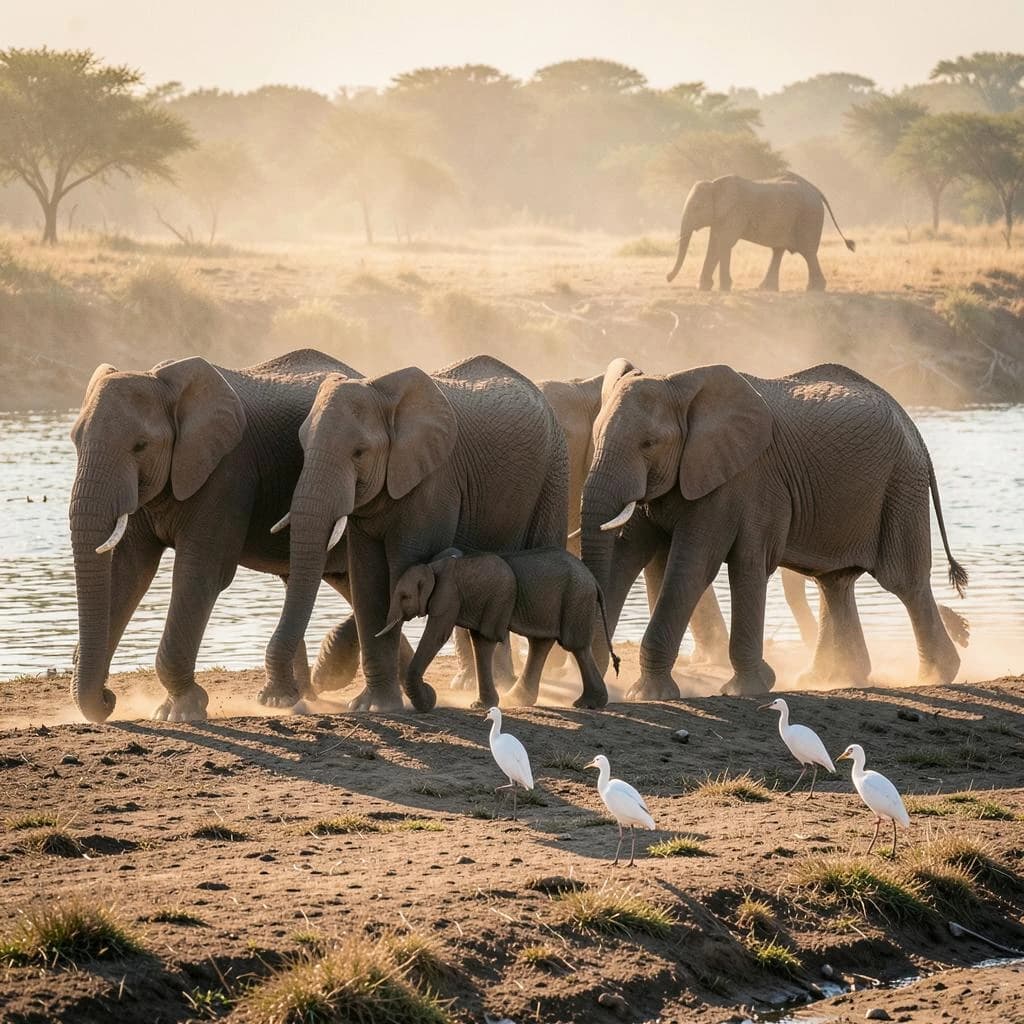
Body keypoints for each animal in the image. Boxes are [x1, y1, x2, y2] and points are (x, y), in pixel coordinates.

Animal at [67, 349, 380, 724]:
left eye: (140, 446)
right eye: (74, 440)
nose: (109, 699)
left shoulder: (227, 471)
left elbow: (200, 572)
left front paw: (180, 712)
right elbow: (128, 572)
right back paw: (302, 696)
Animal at [264, 354, 568, 713]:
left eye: (359, 453)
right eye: (302, 446)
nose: (277, 700)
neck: (382, 394)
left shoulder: (434, 484)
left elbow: (400, 576)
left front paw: (379, 702)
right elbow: (367, 583)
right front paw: (371, 706)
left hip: (554, 472)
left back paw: (517, 693)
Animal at [379, 547, 618, 710]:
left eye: (405, 596)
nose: (431, 693)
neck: (437, 566)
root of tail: (594, 581)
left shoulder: (455, 598)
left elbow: (444, 636)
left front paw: (480, 706)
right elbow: (479, 642)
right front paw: (481, 706)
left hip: (576, 599)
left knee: (575, 646)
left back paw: (586, 704)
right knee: (542, 643)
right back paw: (518, 700)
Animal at [580, 361, 968, 700]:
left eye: (648, 444)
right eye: (595, 435)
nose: (610, 666)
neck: (679, 383)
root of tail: (911, 424)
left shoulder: (742, 482)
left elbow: (698, 566)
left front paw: (727, 690)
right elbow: (625, 556)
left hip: (901, 484)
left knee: (904, 581)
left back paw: (935, 674)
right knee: (834, 581)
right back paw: (832, 678)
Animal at [665, 172, 855, 293]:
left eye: (697, 207)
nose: (667, 277)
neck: (714, 184)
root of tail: (816, 190)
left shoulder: (735, 212)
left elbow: (725, 243)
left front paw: (724, 289)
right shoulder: (722, 216)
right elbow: (715, 243)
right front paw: (703, 288)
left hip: (808, 217)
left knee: (808, 252)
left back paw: (814, 290)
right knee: (779, 251)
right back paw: (766, 289)